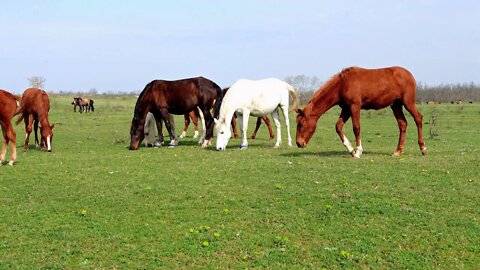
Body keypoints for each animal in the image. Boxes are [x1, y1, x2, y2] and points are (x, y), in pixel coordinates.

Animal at [296, 66, 428, 157]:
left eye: (301, 123)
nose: (299, 143)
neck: (342, 84)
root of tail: (409, 74)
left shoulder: (355, 106)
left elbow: (356, 128)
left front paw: (358, 151)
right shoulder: (346, 108)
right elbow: (338, 126)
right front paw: (351, 150)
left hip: (408, 102)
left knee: (418, 119)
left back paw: (423, 149)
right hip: (396, 105)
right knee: (403, 124)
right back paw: (397, 151)